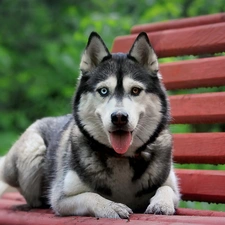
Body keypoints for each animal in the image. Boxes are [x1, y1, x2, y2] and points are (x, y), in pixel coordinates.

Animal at [0, 31, 179, 218]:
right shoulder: (61, 198)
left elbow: (166, 188)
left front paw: (161, 203)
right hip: (33, 149)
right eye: (103, 90)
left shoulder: (171, 185)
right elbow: (91, 196)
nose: (119, 117)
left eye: (135, 90)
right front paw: (111, 207)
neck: (121, 157)